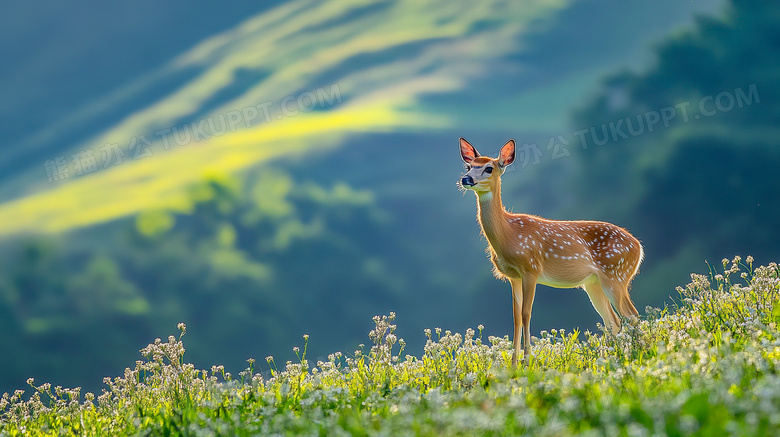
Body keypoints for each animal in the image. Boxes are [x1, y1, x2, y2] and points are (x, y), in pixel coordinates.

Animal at [460, 137, 644, 364]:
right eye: (468, 166)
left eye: (488, 168)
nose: (466, 179)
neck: (508, 234)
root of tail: (639, 247)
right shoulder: (513, 277)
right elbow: (515, 317)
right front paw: (513, 364)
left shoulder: (531, 269)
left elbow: (526, 313)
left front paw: (527, 361)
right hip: (593, 283)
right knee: (613, 321)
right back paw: (608, 358)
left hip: (617, 275)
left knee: (632, 316)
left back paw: (639, 352)